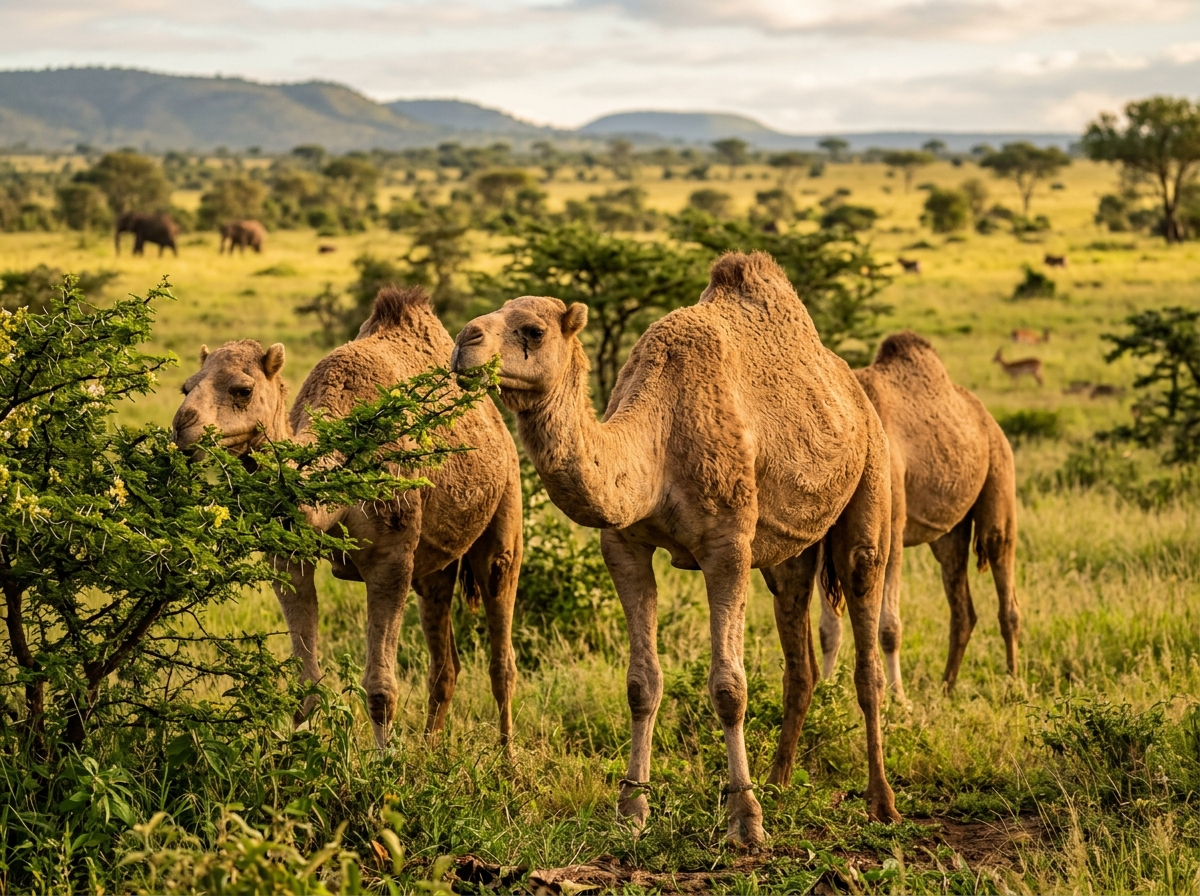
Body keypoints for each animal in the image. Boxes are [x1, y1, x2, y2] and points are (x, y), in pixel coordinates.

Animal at [172, 286, 522, 749]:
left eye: (242, 389)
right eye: (186, 387)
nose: (182, 426)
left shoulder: (391, 556)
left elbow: (380, 689)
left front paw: (384, 763)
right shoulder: (288, 555)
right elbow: (305, 682)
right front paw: (290, 755)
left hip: (505, 515)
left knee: (501, 649)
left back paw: (506, 756)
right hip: (434, 567)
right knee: (445, 660)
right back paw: (431, 750)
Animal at [451, 251, 900, 847]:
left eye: (532, 329)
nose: (464, 340)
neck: (658, 441)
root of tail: (853, 388)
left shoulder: (728, 546)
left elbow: (730, 687)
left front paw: (745, 820)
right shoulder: (624, 546)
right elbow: (641, 683)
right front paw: (631, 808)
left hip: (870, 485)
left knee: (866, 636)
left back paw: (881, 802)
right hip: (788, 553)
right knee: (797, 653)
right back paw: (780, 782)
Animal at [818, 332, 1019, 700]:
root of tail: (985, 415)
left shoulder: (892, 530)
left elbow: (889, 626)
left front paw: (899, 698)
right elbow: (828, 628)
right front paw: (825, 694)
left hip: (999, 470)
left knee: (1002, 572)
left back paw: (1014, 684)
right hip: (948, 534)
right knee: (962, 606)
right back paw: (947, 686)